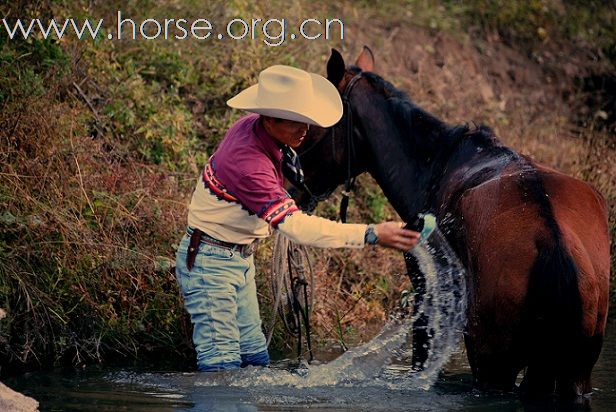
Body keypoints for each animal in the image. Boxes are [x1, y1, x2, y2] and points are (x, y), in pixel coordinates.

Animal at [294, 47, 612, 400]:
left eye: (311, 126)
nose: (289, 181)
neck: (434, 165)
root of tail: (552, 240)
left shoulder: (424, 291)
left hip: (492, 363)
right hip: (572, 372)